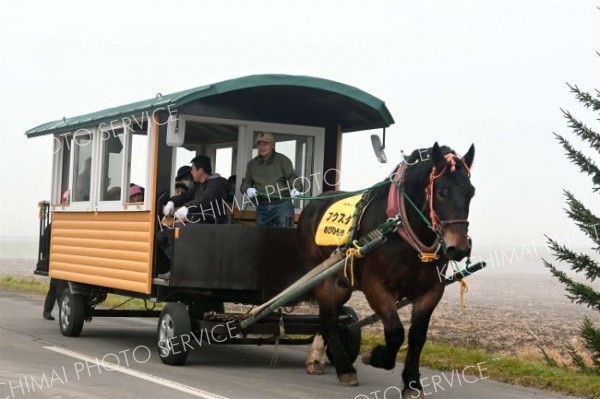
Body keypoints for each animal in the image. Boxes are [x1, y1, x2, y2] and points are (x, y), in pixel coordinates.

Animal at [298, 141, 476, 396]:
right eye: (442, 191)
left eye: (471, 192)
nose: (459, 248)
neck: (401, 231)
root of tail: (312, 204)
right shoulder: (376, 286)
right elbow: (395, 332)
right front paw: (376, 356)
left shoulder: (431, 291)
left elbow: (417, 336)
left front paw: (412, 382)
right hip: (321, 277)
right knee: (330, 319)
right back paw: (345, 368)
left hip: (341, 283)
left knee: (329, 314)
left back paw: (317, 357)